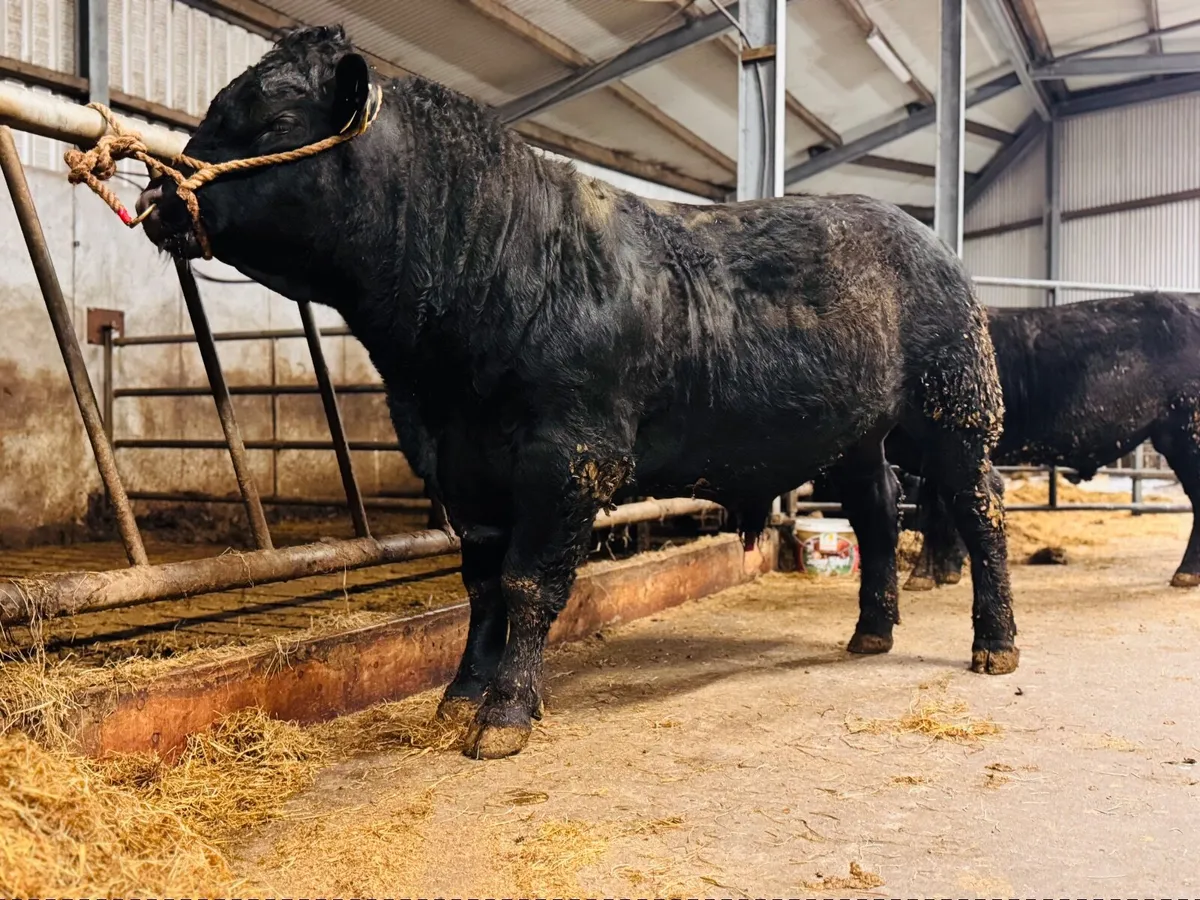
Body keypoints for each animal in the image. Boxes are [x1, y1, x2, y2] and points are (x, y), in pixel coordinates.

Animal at [133, 25, 1018, 760]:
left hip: (954, 407)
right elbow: (482, 586)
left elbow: (529, 585)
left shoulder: (567, 457)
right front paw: (459, 697)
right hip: (853, 431)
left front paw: (505, 713)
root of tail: (921, 232)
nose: (155, 197)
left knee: (980, 508)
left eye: (277, 117)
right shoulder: (459, 465)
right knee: (877, 509)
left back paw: (995, 642)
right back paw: (872, 630)